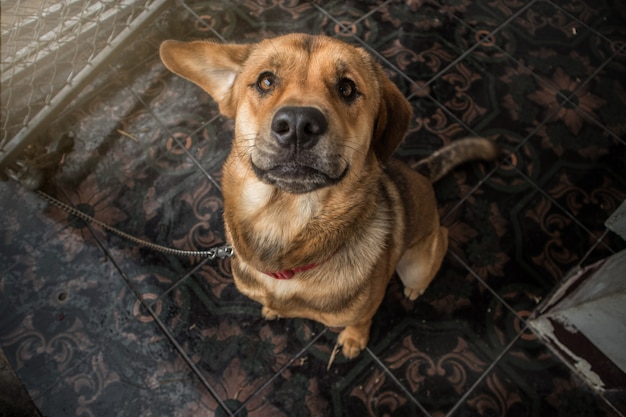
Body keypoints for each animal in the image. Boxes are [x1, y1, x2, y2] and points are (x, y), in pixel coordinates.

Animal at [161, 33, 498, 358]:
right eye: (266, 81)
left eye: (347, 88)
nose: (298, 125)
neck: (284, 221)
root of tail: (422, 174)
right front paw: (272, 309)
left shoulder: (365, 308)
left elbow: (360, 320)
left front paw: (353, 340)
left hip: (417, 263)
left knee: (441, 240)